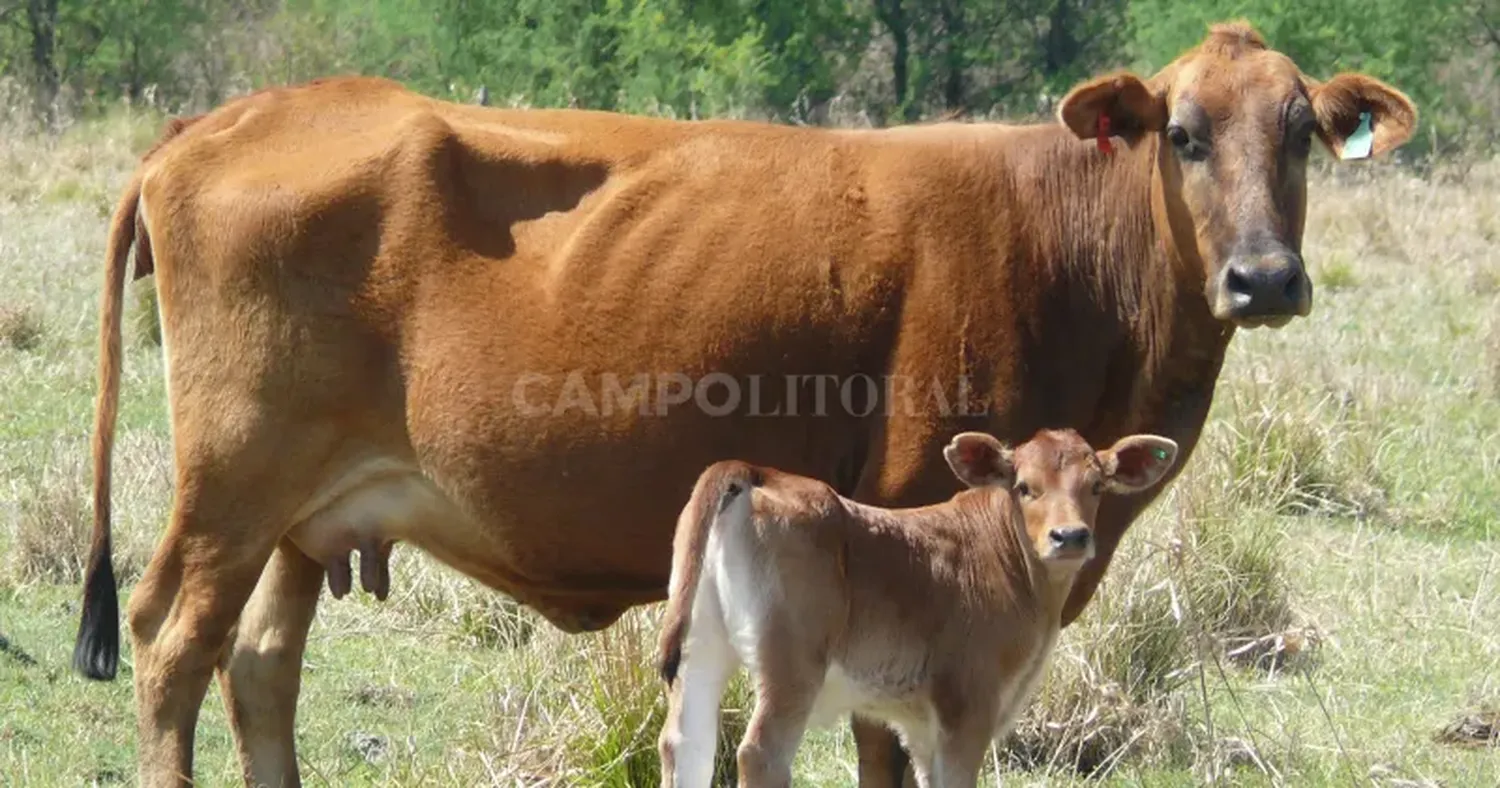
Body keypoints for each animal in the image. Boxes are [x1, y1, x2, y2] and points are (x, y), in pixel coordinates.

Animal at [657, 429, 1182, 786]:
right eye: (1024, 486)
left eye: (1096, 486)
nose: (1070, 536)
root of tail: (757, 472)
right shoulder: (969, 707)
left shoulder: (921, 723)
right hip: (791, 666)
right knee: (760, 754)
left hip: (703, 646)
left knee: (686, 744)